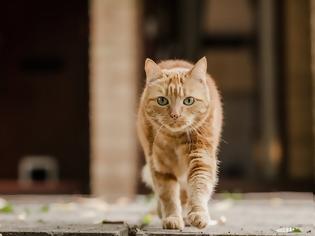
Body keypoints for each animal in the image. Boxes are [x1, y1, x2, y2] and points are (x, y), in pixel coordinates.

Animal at [137, 56, 223, 229]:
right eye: (162, 101)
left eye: (188, 101)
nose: (175, 115)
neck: (175, 139)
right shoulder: (160, 167)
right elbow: (168, 195)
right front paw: (172, 217)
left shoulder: (200, 159)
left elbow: (198, 186)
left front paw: (197, 214)